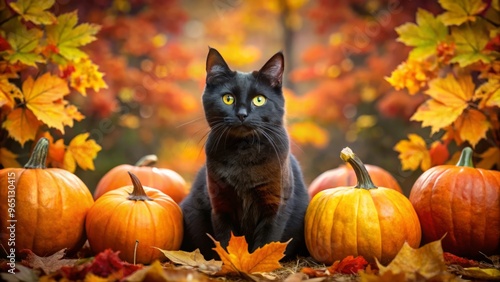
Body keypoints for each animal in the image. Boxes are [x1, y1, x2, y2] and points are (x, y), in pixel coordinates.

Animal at [181, 48, 308, 260]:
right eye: (228, 98)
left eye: (259, 100)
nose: (242, 114)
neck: (243, 152)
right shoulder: (221, 204)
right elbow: (225, 241)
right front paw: (231, 263)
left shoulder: (275, 204)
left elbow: (265, 243)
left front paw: (255, 264)